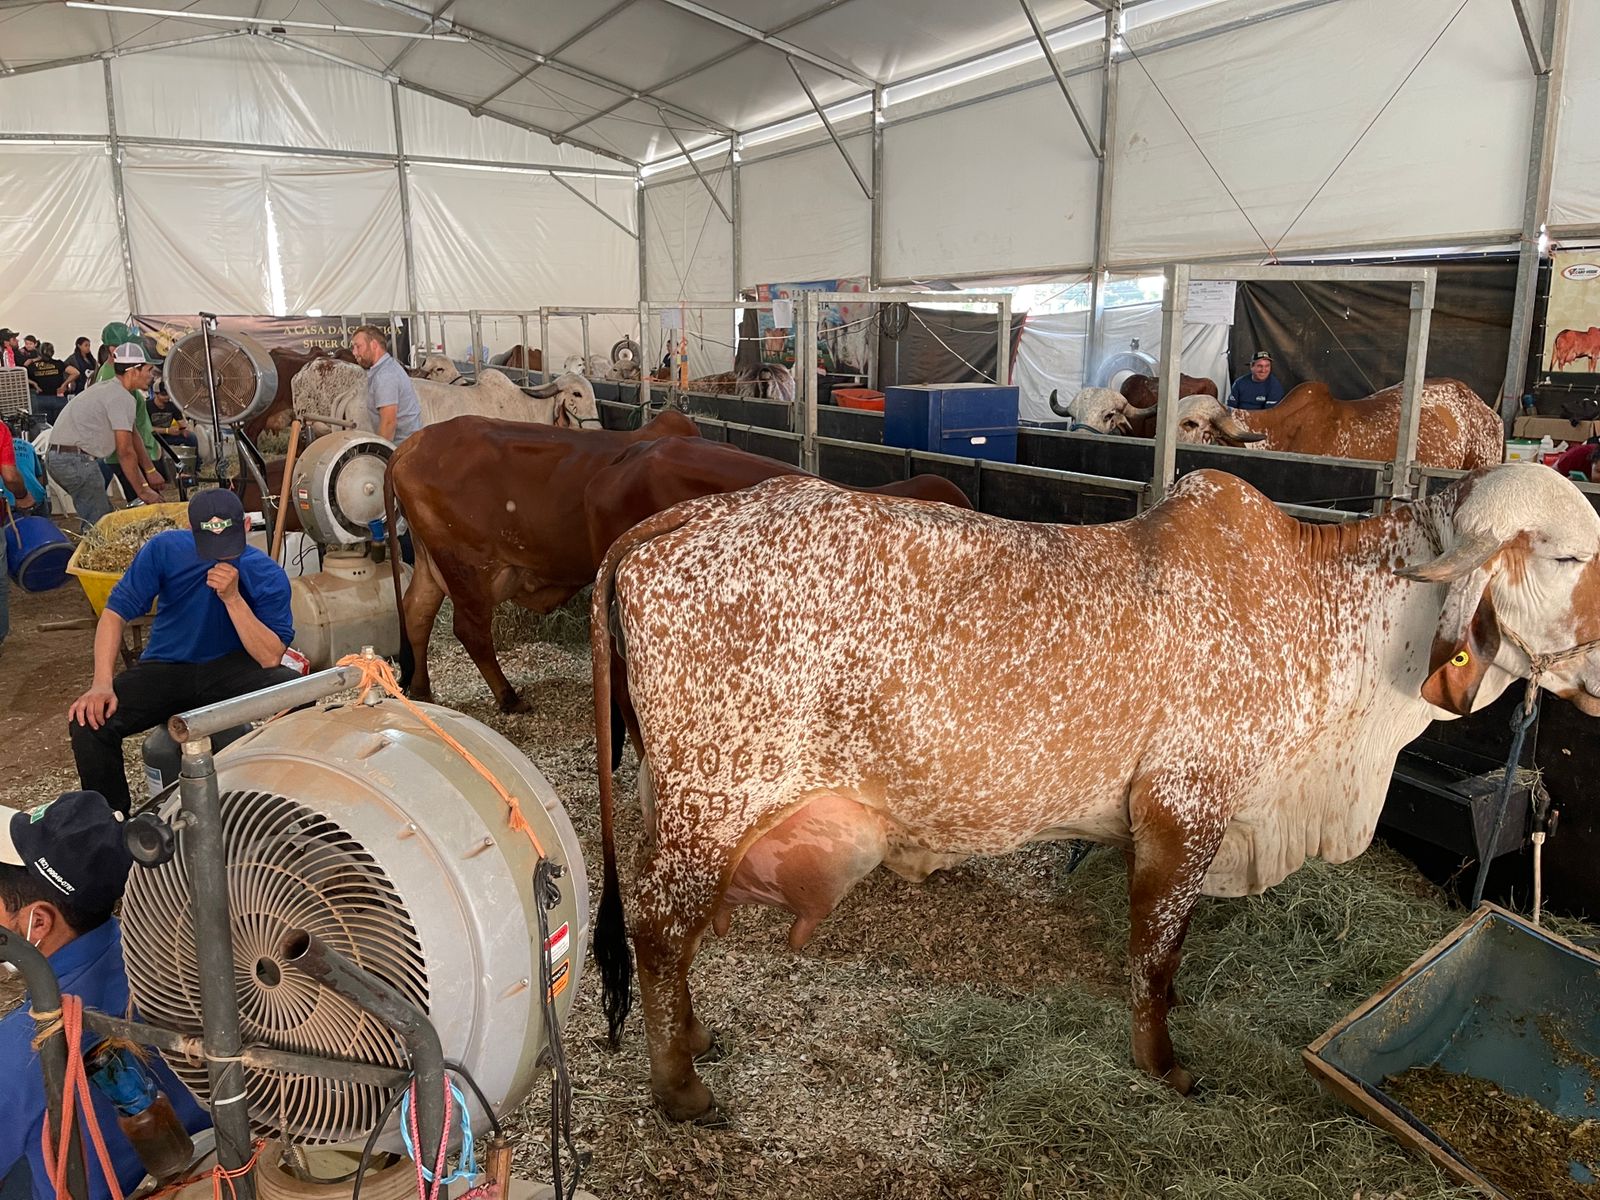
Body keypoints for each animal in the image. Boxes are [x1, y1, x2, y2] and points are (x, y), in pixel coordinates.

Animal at [588, 464, 1600, 1126]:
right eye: (1565, 558)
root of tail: (674, 522)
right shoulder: (1185, 807)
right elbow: (1156, 958)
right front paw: (1165, 1068)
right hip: (711, 800)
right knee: (658, 929)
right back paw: (680, 1089)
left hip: (679, 806)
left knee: (676, 937)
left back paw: (697, 1040)